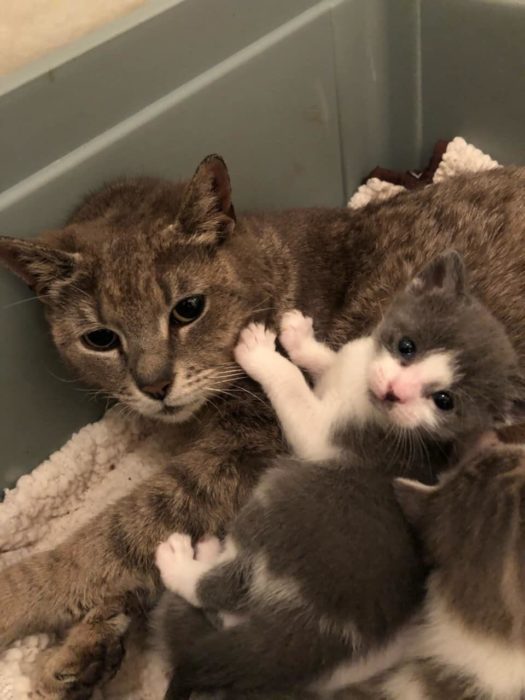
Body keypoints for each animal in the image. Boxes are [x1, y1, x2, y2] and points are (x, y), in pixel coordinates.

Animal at [154, 254, 520, 696]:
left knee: (229, 588)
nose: (394, 392)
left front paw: (262, 353)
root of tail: (329, 625)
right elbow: (330, 361)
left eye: (444, 401)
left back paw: (183, 560)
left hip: (282, 498)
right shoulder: (355, 365)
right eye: (407, 346)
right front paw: (300, 337)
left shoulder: (329, 435)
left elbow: (294, 389)